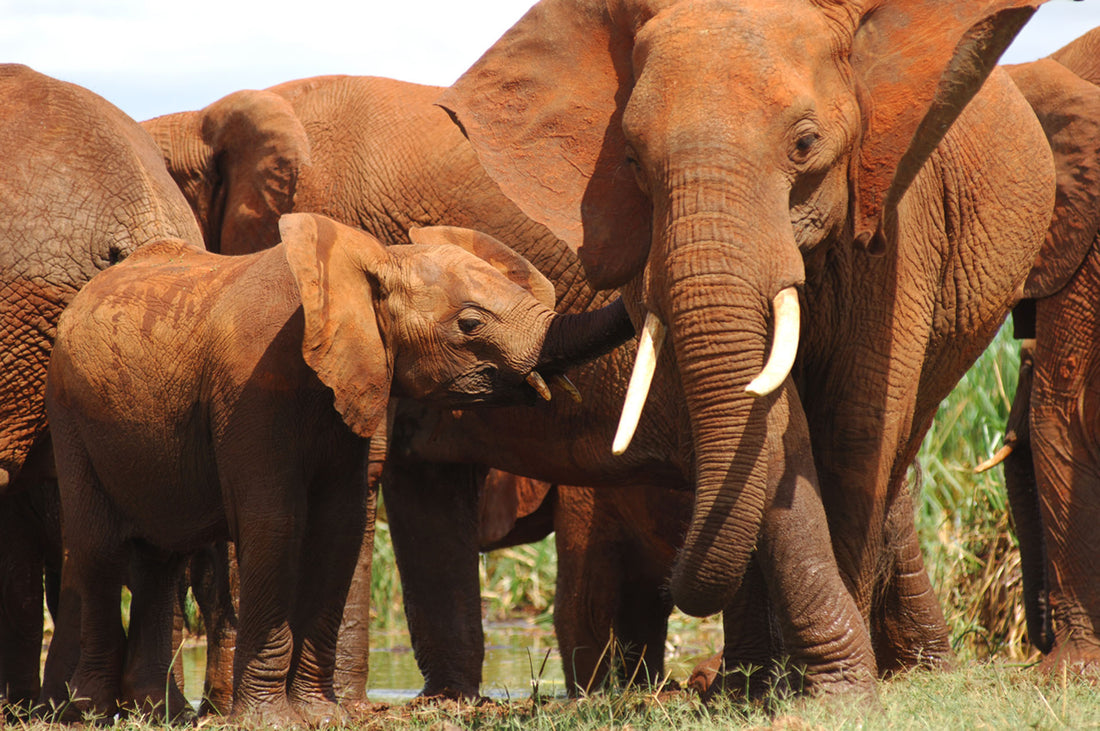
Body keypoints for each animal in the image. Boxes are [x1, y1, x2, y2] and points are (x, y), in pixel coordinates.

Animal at [43, 212, 631, 725]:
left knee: (160, 558)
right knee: (98, 549)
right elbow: (275, 524)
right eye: (469, 323)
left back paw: (160, 713)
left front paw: (321, 716)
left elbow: (340, 528)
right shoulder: (252, 388)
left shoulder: (356, 384)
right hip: (68, 411)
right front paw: (271, 722)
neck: (373, 263)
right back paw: (91, 713)